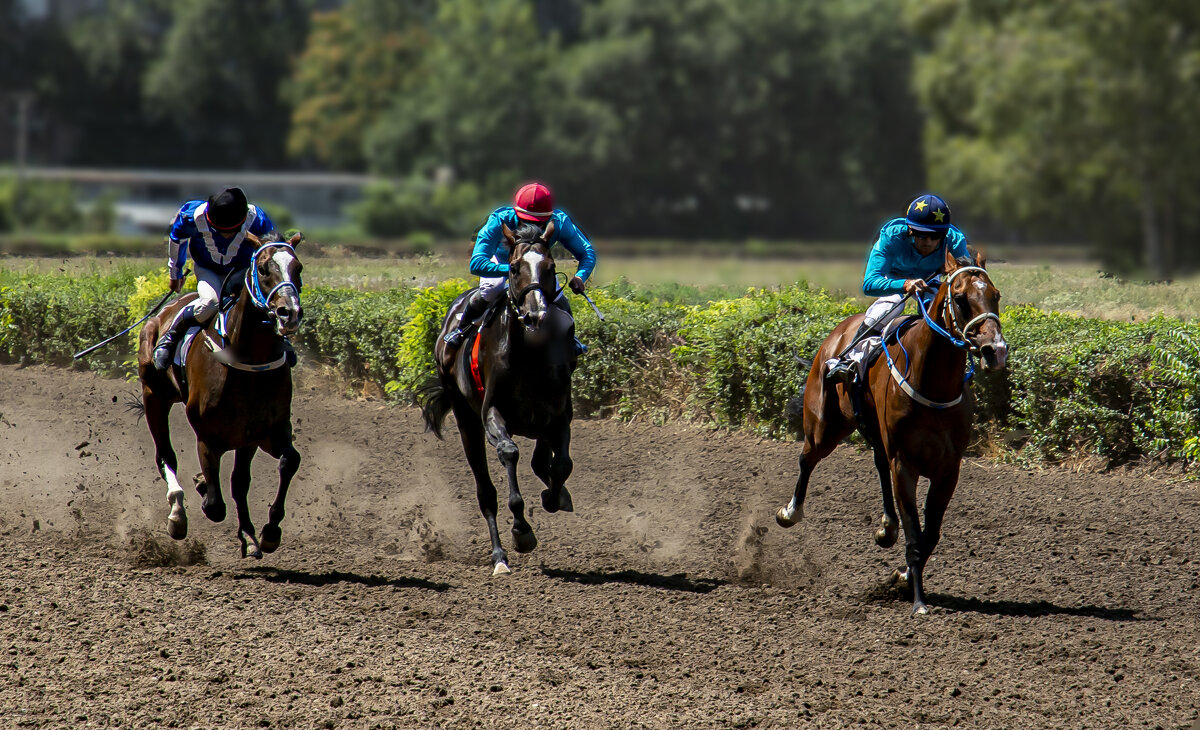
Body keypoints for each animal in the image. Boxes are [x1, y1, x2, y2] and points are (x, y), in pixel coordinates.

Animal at [136, 230, 307, 557]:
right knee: (165, 455)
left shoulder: (261, 432)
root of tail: (163, 312)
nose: (289, 313)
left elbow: (279, 465)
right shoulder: (208, 437)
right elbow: (215, 505)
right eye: (263, 268)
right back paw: (177, 513)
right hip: (154, 396)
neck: (249, 360)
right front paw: (203, 491)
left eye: (298, 268)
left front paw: (263, 533)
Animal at [420, 219, 573, 573]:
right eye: (514, 268)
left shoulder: (559, 414)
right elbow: (509, 453)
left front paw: (554, 496)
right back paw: (499, 556)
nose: (535, 316)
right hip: (466, 421)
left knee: (541, 459)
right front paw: (521, 531)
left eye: (551, 267)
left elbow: (561, 465)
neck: (529, 354)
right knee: (485, 491)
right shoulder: (492, 414)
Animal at [772, 248, 1008, 612]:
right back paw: (790, 512)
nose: (995, 351)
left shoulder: (948, 469)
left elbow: (930, 534)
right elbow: (915, 533)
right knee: (807, 459)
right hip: (825, 426)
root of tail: (838, 334)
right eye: (960, 298)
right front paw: (918, 601)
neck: (932, 384)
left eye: (995, 295)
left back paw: (887, 527)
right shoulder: (905, 464)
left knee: (878, 463)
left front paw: (902, 577)